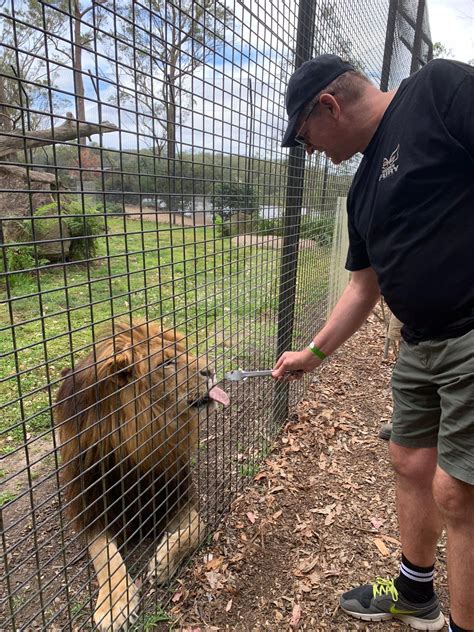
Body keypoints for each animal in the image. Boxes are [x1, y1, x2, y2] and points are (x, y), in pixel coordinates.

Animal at [55, 324, 230, 628]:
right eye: (166, 363)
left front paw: (164, 561)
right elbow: (107, 559)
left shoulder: (174, 494)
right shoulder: (94, 512)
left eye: (184, 350)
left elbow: (197, 528)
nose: (210, 369)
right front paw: (113, 607)